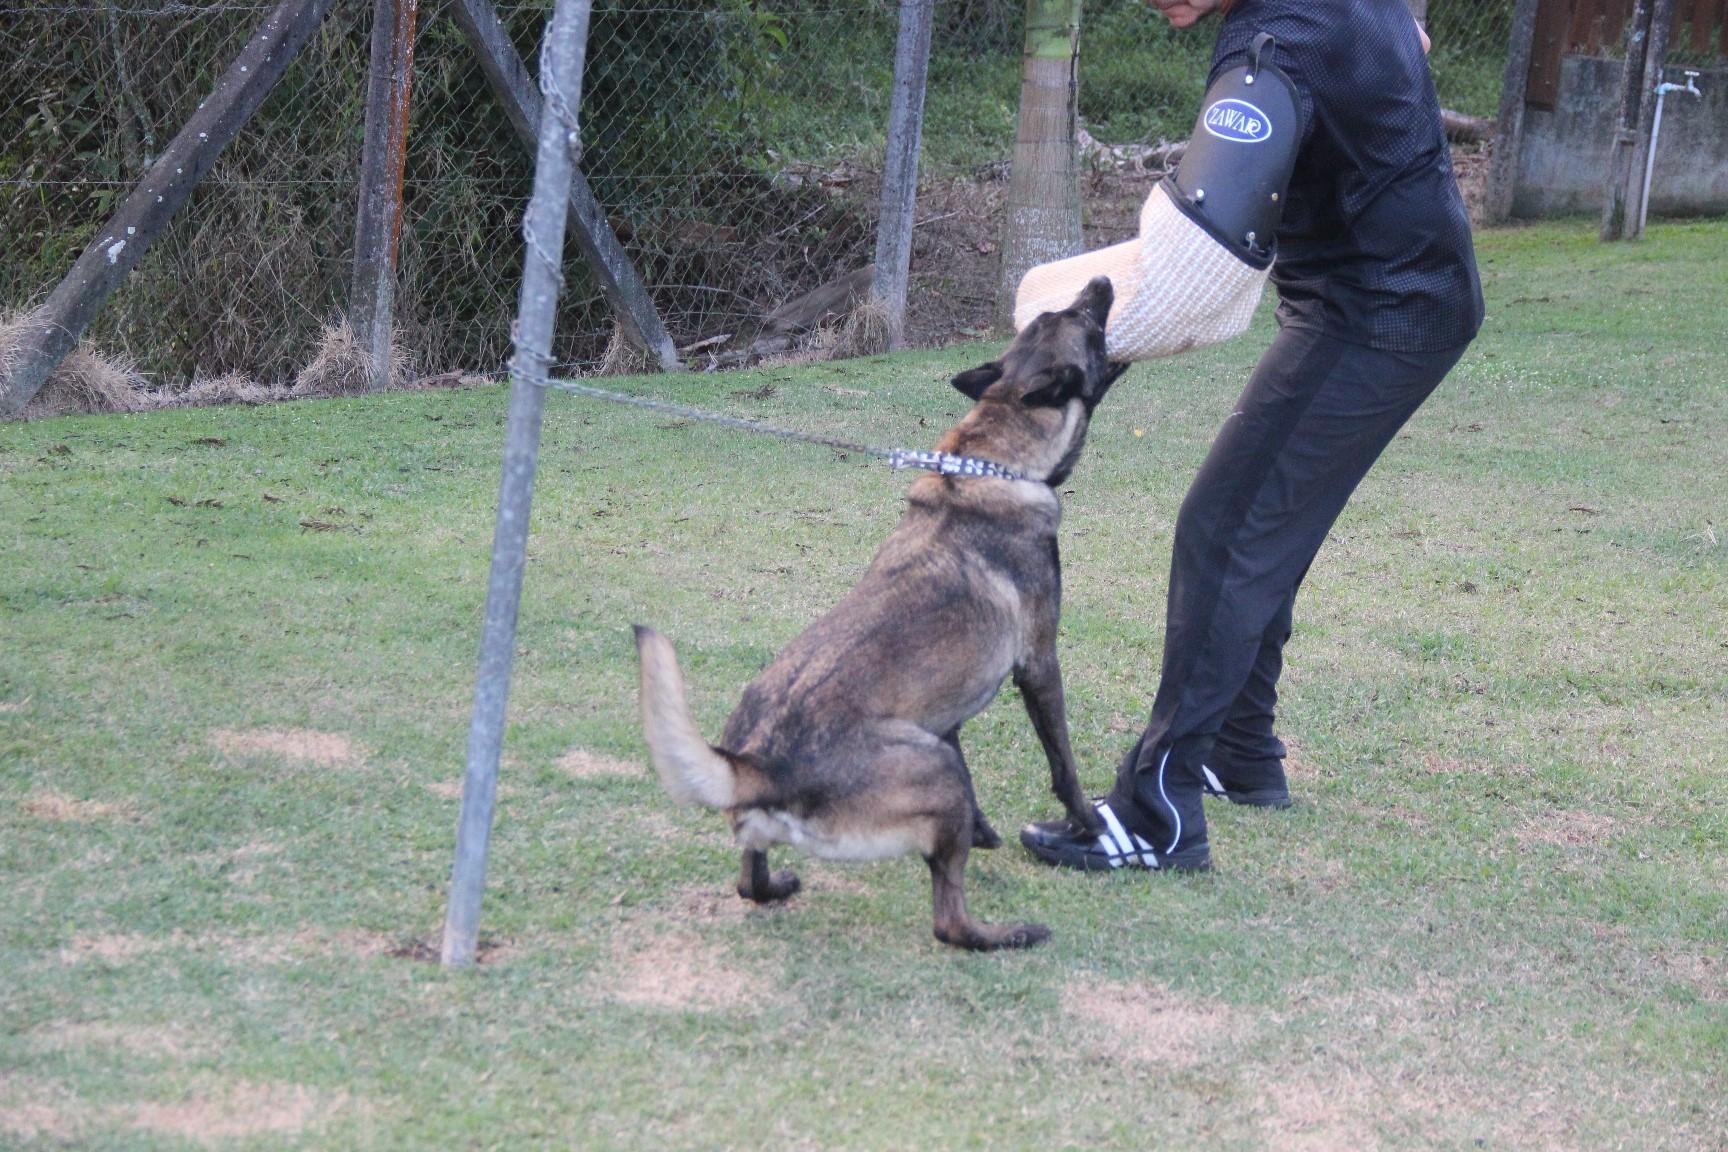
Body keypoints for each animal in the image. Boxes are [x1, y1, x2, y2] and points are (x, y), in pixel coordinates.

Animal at [642, 276, 1126, 946]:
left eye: (1064, 312)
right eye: (1083, 319)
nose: (1101, 281)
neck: (998, 460)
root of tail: (756, 766)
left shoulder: (944, 715)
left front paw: (985, 831)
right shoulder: (1038, 665)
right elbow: (1064, 765)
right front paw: (1088, 824)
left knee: (749, 880)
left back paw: (777, 886)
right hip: (935, 769)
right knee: (949, 922)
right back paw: (1010, 935)